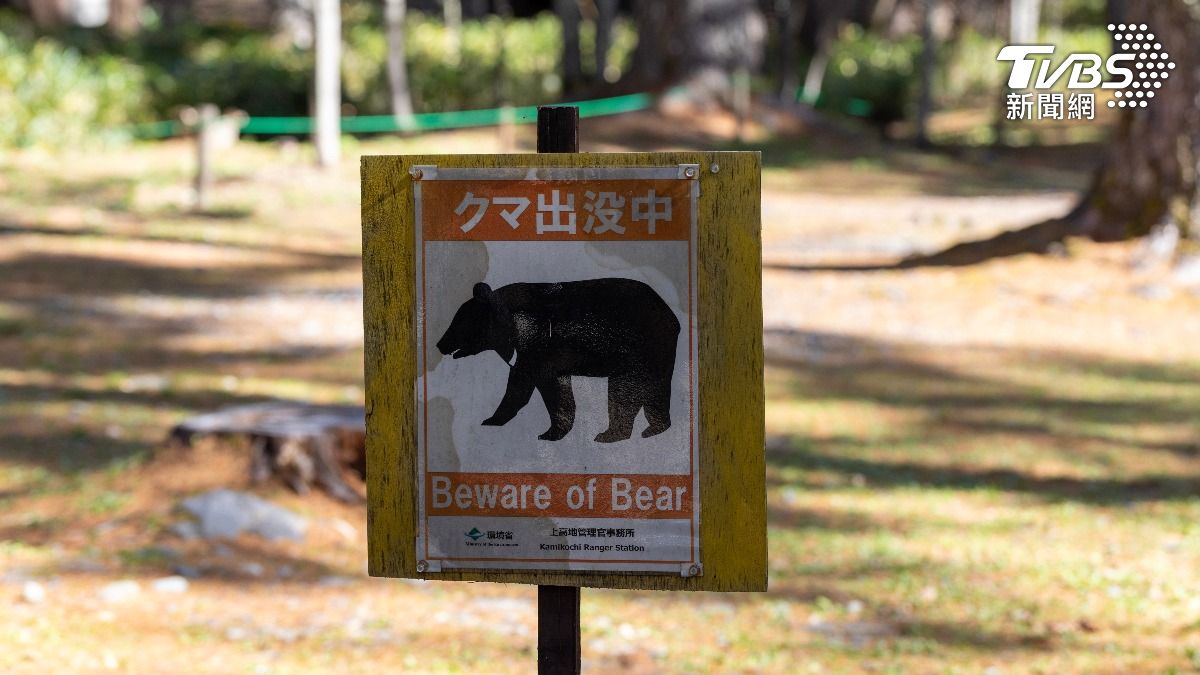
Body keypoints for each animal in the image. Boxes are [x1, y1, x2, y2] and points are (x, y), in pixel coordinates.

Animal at [435, 278, 680, 443]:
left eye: (458, 323)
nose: (439, 344)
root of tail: (671, 316)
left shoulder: (538, 346)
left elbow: (527, 385)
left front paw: (497, 420)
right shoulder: (540, 357)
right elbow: (550, 389)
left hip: (640, 349)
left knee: (626, 391)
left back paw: (610, 434)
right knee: (654, 390)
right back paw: (654, 428)